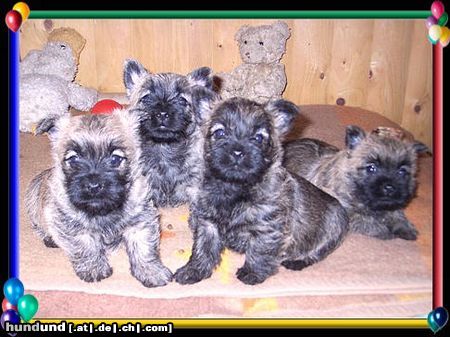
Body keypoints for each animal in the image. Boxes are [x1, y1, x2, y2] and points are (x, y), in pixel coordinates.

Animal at [25, 111, 172, 284]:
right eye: (73, 159)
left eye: (115, 159)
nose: (94, 186)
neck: (103, 210)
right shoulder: (72, 226)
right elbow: (85, 246)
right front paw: (94, 269)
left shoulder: (141, 221)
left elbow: (144, 248)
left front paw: (151, 271)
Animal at [173, 97, 348, 284]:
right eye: (220, 133)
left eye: (258, 138)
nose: (237, 152)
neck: (235, 188)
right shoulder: (208, 224)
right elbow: (202, 249)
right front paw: (193, 270)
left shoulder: (267, 229)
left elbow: (259, 251)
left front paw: (252, 273)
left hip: (334, 227)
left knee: (318, 252)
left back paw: (297, 261)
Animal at [284, 124, 428, 240]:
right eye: (371, 168)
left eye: (402, 171)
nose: (389, 187)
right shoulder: (344, 210)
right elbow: (364, 219)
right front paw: (384, 230)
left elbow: (397, 212)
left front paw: (405, 227)